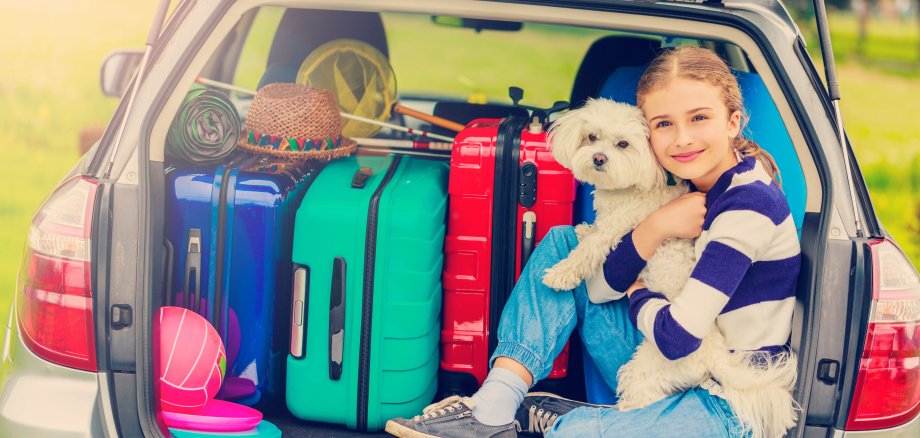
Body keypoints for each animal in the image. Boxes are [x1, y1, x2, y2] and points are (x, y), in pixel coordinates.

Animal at [548, 99, 796, 438]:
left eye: (623, 144)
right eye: (591, 137)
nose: (599, 158)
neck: (632, 186)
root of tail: (716, 356)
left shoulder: (619, 228)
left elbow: (589, 250)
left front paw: (560, 273)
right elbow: (592, 233)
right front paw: (583, 229)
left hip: (650, 365)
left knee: (641, 398)